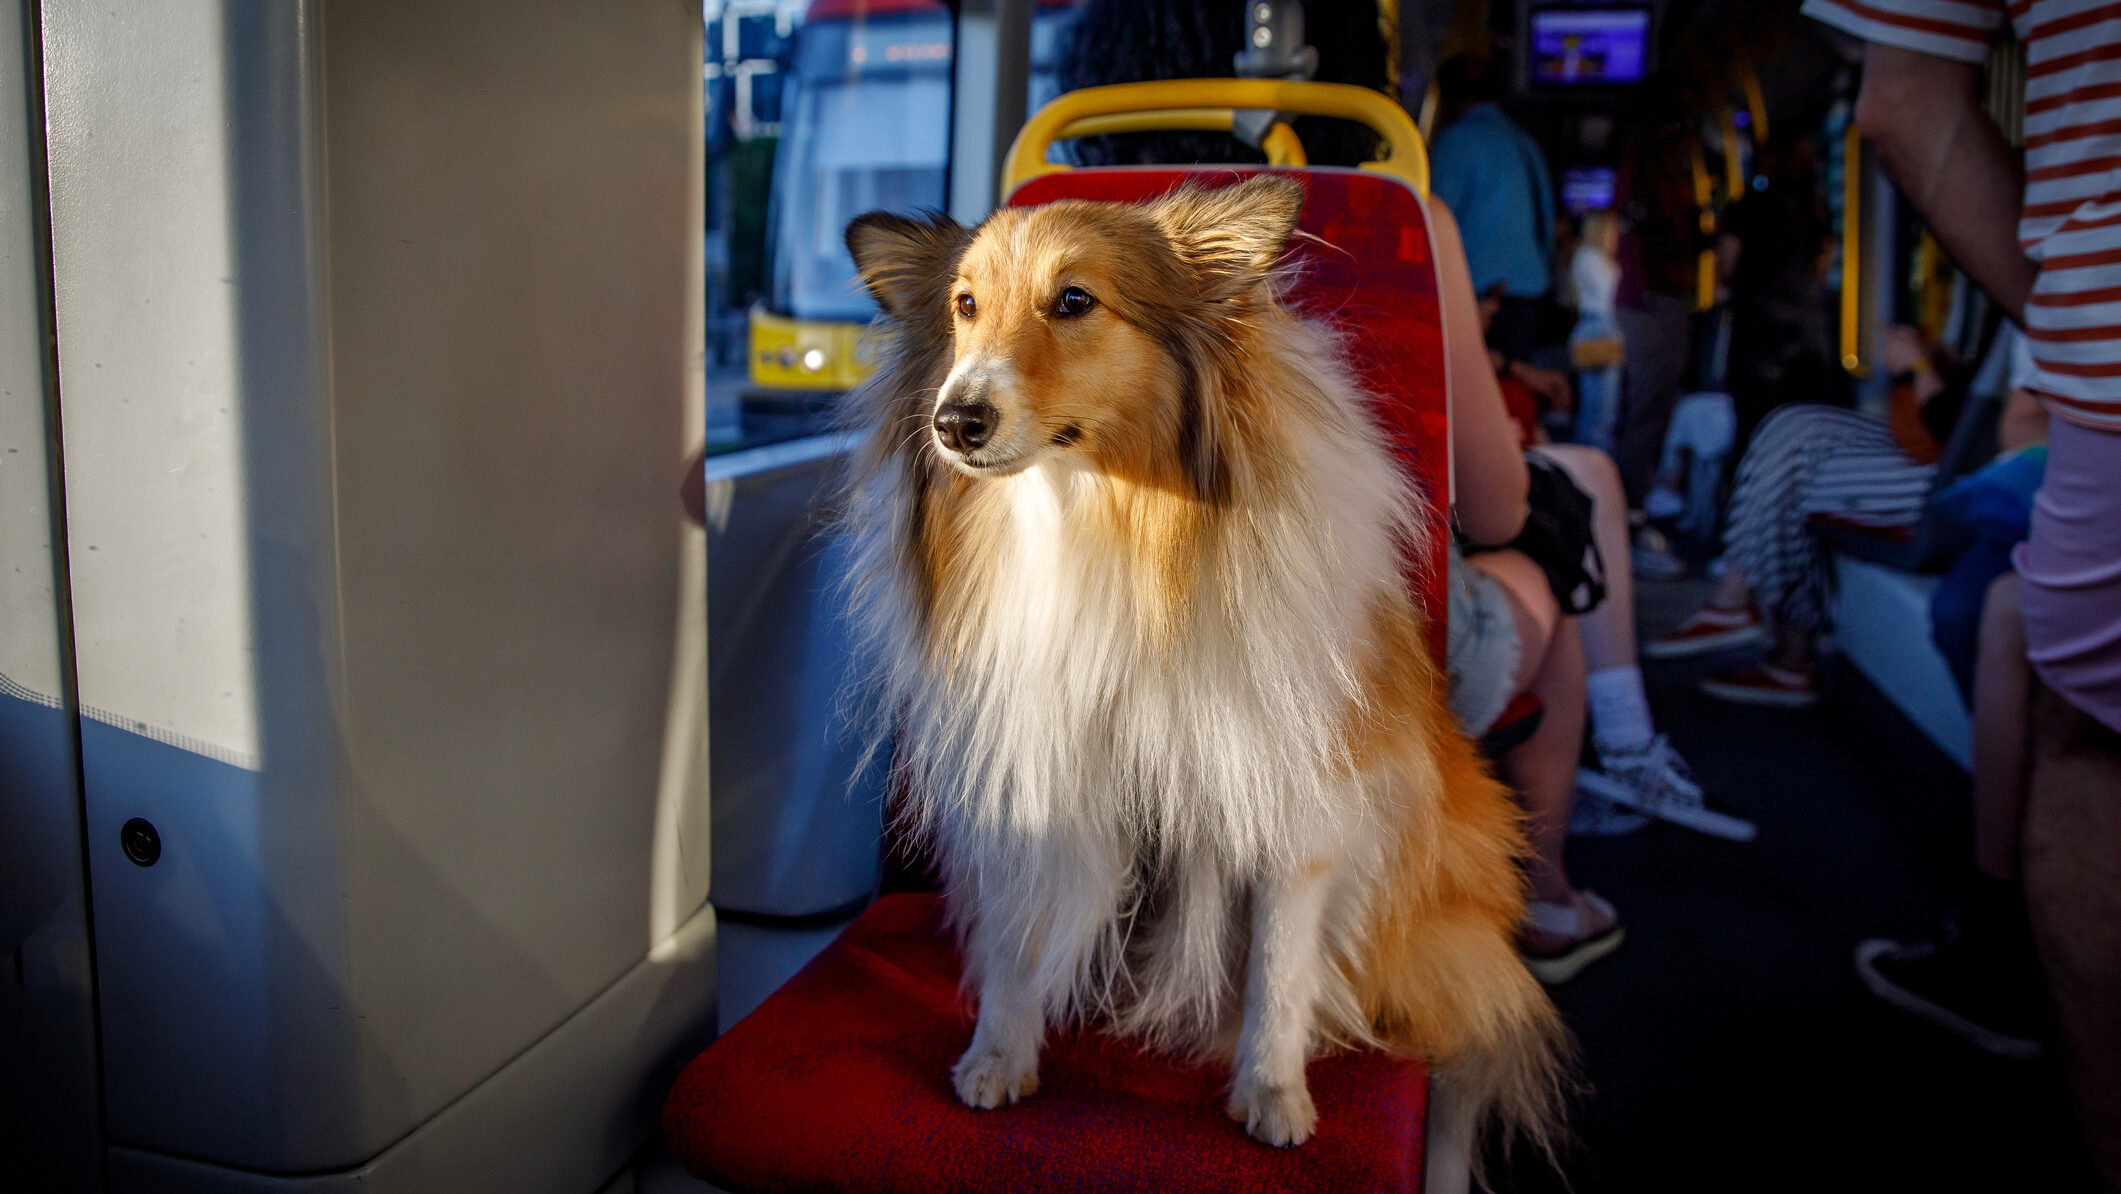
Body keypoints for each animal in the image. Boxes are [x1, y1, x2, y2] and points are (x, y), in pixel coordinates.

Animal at [835, 174, 1569, 1162]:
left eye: (1075, 300)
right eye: (963, 306)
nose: (954, 421)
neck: (1097, 519)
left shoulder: (1298, 807)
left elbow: (1278, 970)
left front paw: (1271, 1091)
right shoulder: (1044, 775)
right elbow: (1020, 945)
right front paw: (999, 1054)